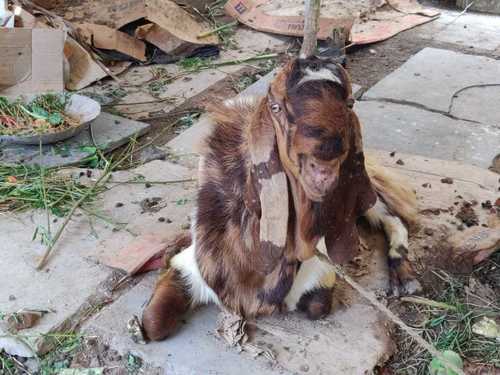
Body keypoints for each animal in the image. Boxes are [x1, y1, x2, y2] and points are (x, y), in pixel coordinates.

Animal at [142, 57, 422, 342]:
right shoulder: (193, 267)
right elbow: (153, 323)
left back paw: (404, 276)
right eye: (276, 107)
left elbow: (318, 305)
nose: (323, 164)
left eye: (350, 103)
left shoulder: (319, 272)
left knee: (393, 217)